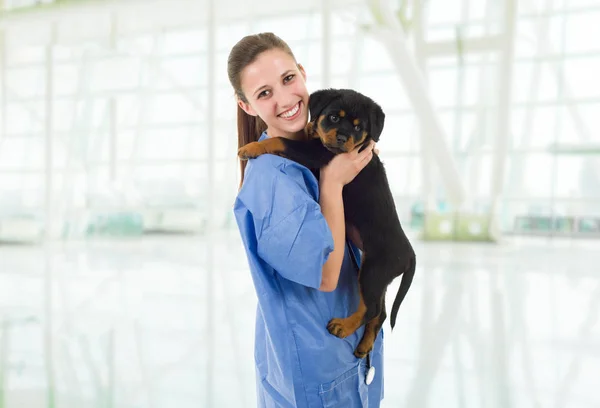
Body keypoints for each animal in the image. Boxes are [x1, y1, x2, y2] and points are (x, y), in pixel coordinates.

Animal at [237, 88, 414, 356]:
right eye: (333, 117)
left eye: (358, 127)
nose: (341, 138)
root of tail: (410, 252)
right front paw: (311, 126)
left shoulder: (317, 154)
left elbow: (282, 141)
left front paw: (251, 147)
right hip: (379, 277)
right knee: (380, 312)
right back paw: (364, 345)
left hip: (373, 271)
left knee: (371, 309)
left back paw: (344, 326)